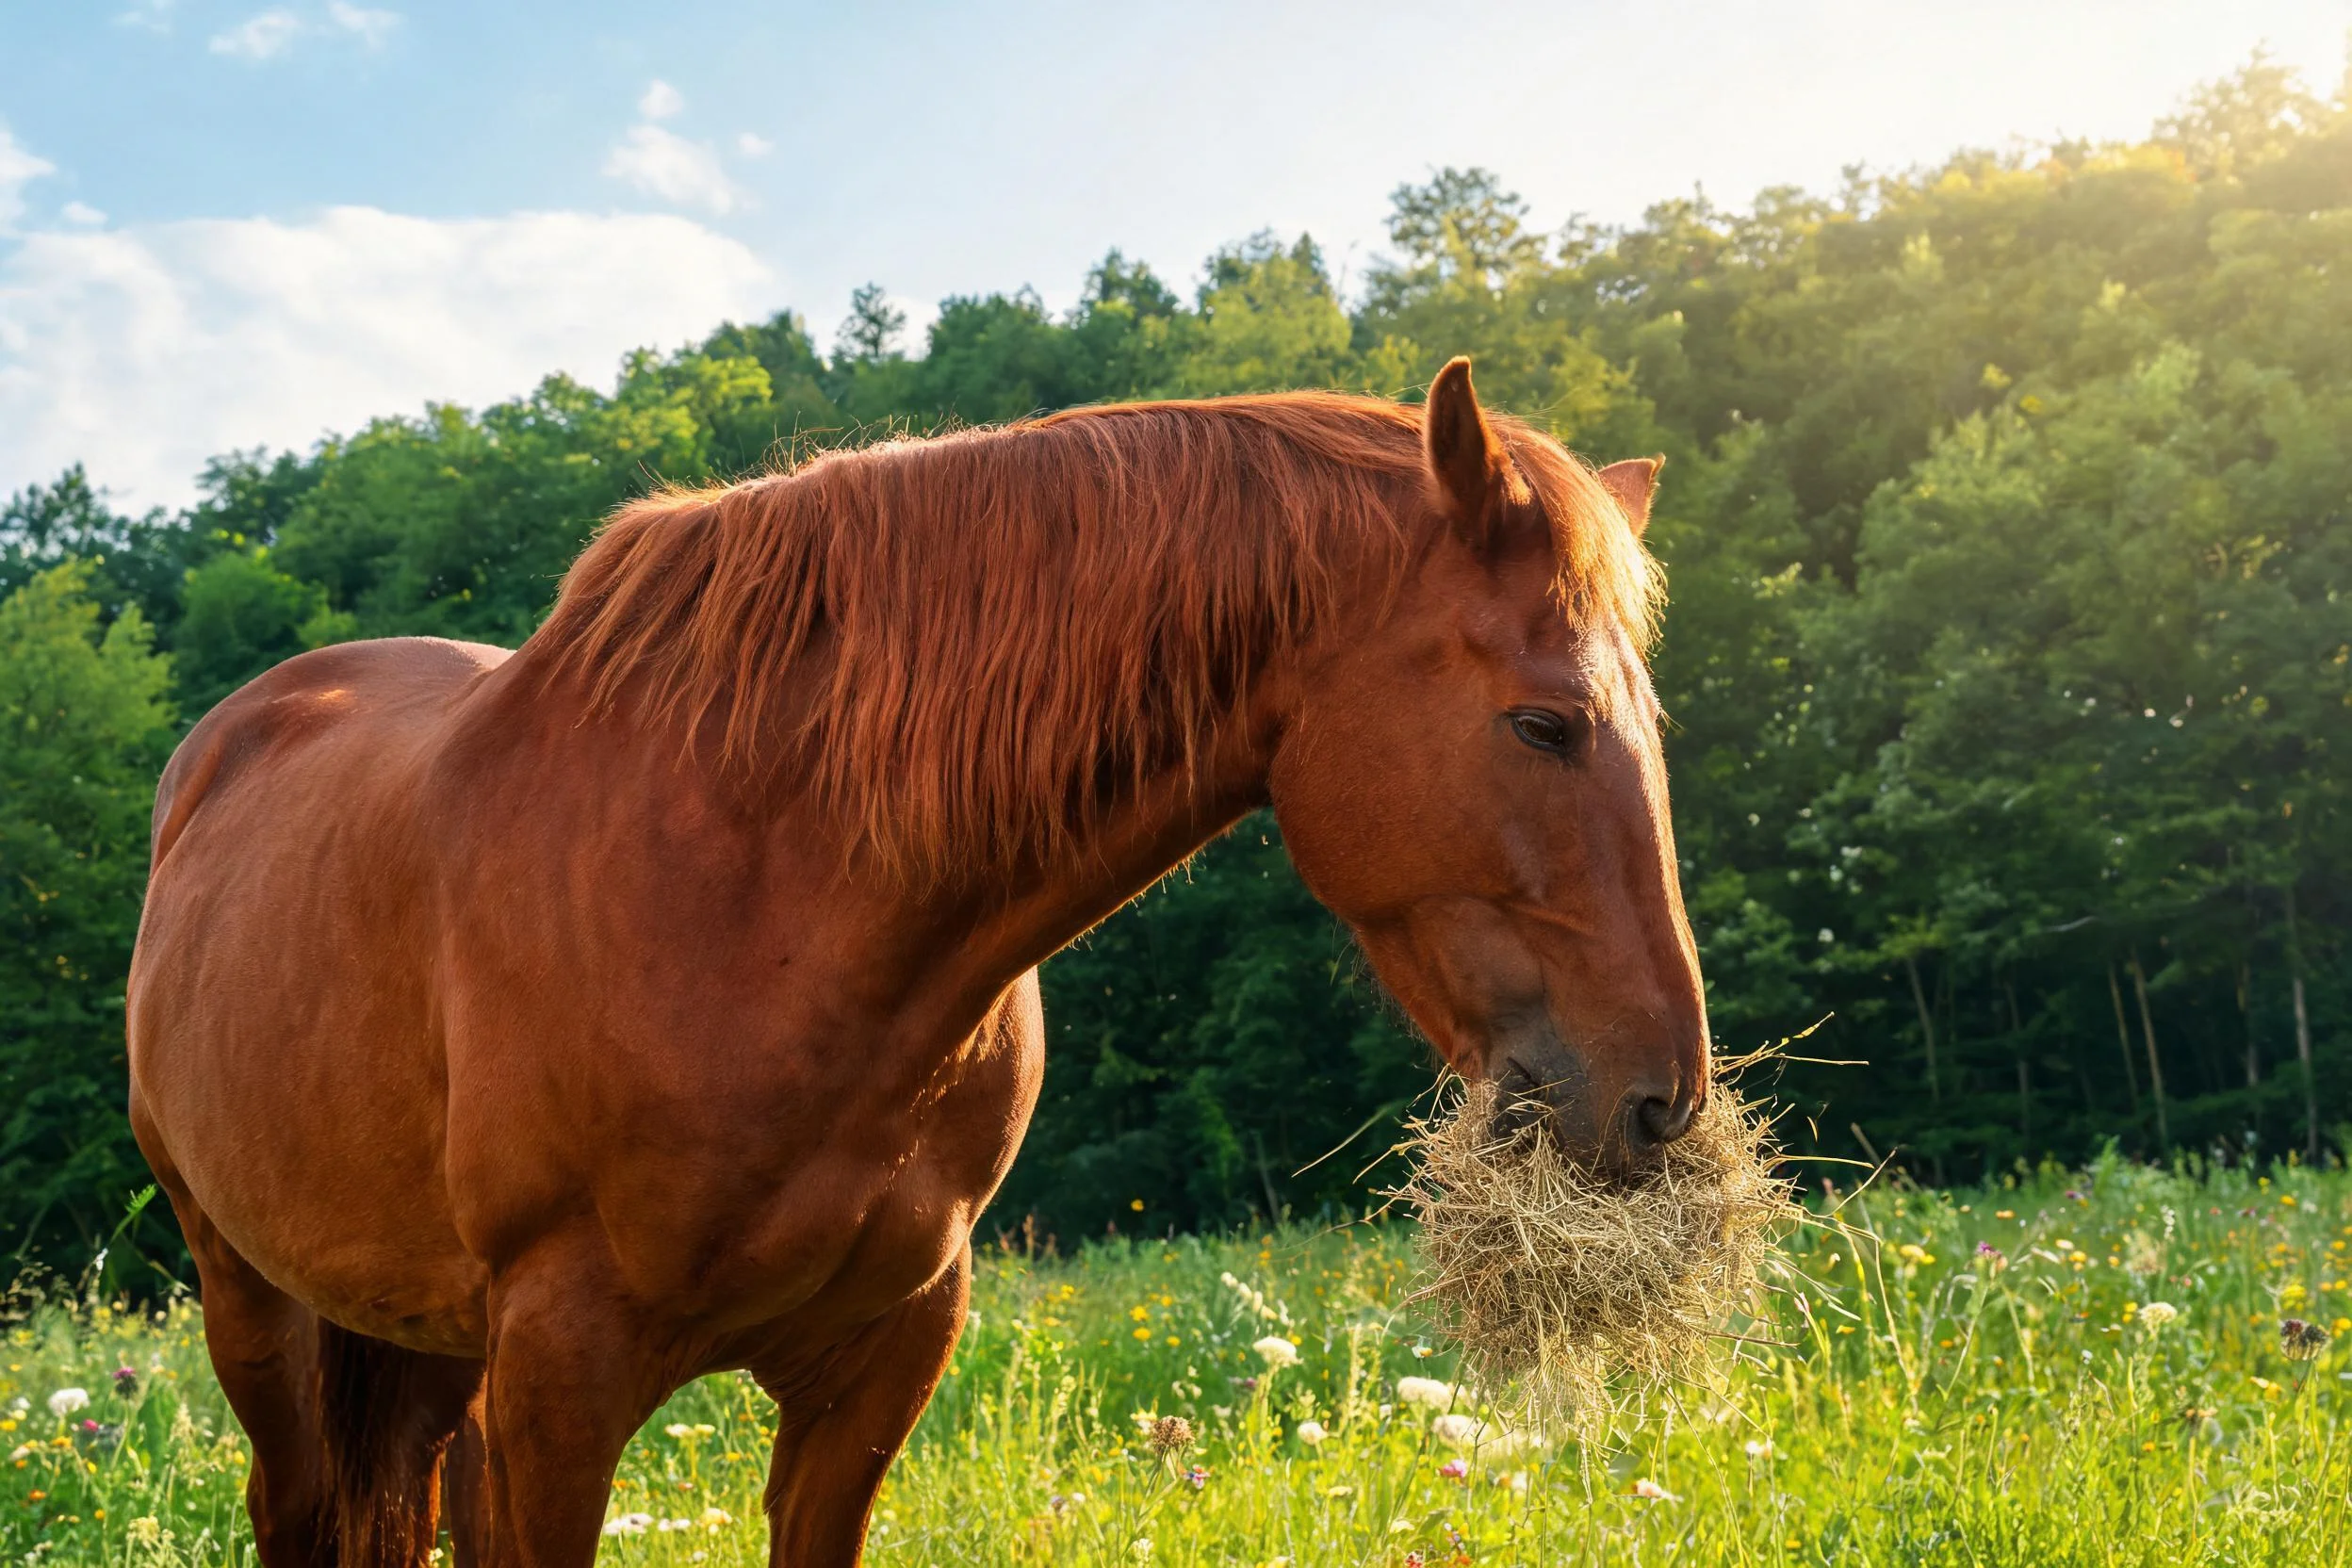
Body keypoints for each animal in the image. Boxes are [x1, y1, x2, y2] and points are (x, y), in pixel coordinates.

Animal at [126, 358, 1708, 1566]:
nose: (1659, 1104)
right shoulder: (563, 1380)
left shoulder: (877, 1365)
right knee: (293, 1505)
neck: (770, 891)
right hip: (252, 1303)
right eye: (1544, 724)